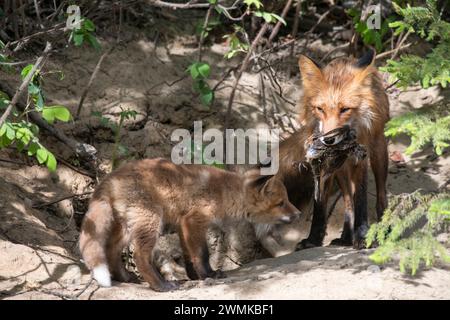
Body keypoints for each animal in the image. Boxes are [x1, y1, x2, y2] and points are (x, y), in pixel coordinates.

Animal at [79, 159, 300, 292]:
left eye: (287, 200)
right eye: (281, 203)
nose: (298, 214)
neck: (226, 193)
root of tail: (110, 177)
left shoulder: (182, 224)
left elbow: (189, 256)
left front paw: (195, 276)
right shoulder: (194, 220)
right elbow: (202, 253)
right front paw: (209, 274)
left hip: (127, 227)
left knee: (111, 250)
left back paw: (125, 277)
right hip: (150, 222)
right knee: (139, 256)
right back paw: (161, 285)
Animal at [272, 50, 388, 250]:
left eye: (345, 109)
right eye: (320, 109)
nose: (328, 140)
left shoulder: (360, 159)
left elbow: (361, 200)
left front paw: (362, 235)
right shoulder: (326, 163)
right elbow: (320, 206)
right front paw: (313, 239)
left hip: (379, 152)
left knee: (381, 195)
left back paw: (383, 227)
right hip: (341, 170)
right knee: (348, 201)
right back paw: (346, 236)